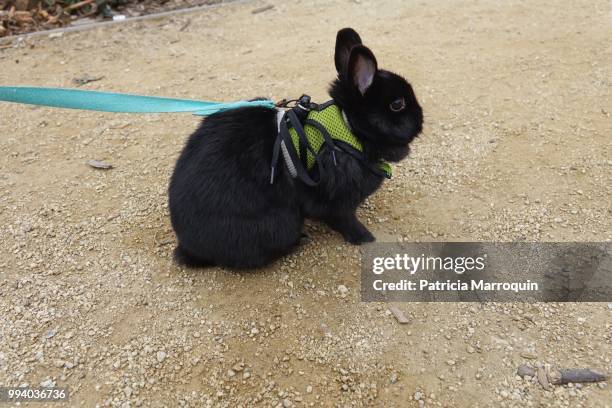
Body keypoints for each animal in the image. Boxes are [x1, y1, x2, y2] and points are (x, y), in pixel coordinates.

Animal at [170, 26, 424, 268]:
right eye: (398, 104)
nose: (421, 120)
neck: (348, 126)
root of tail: (190, 247)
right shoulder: (335, 200)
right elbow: (344, 220)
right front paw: (364, 237)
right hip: (281, 224)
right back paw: (300, 240)